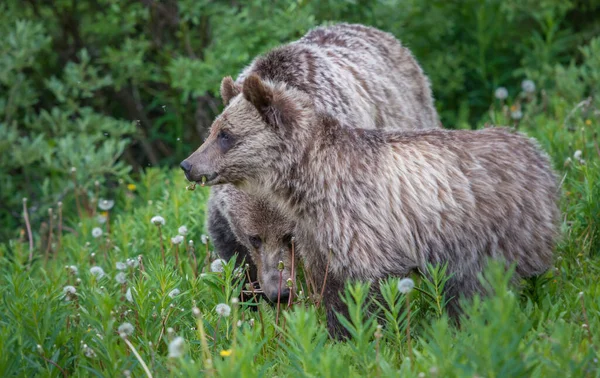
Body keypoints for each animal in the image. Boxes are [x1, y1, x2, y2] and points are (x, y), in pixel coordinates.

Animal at [180, 74, 560, 336]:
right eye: (213, 129)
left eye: (225, 135)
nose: (188, 164)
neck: (308, 184)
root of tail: (538, 150)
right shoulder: (316, 233)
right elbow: (330, 286)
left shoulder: (359, 224)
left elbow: (367, 287)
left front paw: (368, 334)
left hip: (499, 229)